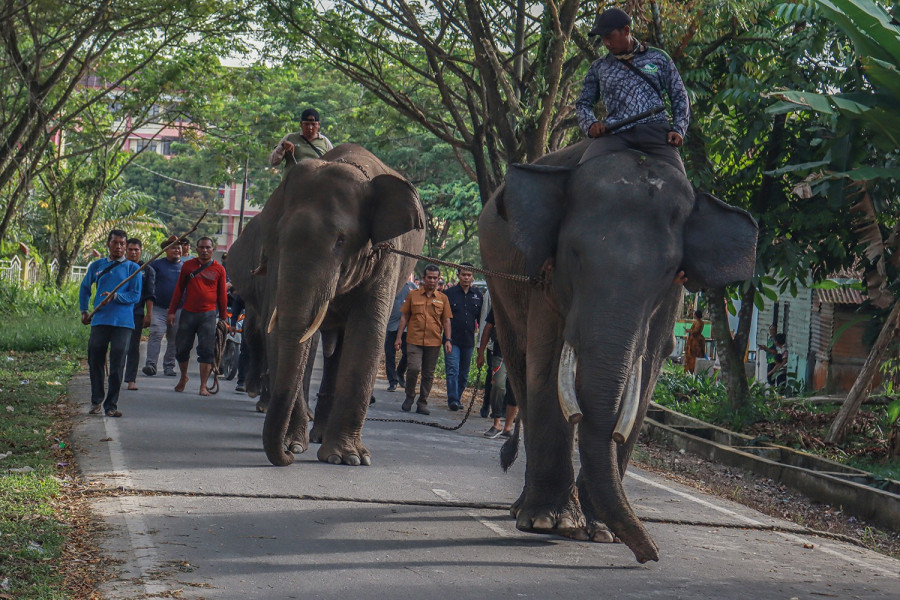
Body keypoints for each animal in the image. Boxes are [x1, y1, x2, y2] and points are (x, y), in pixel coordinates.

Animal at [229, 144, 426, 468]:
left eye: (341, 240)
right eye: (279, 238)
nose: (285, 457)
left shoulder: (386, 255)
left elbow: (368, 332)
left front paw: (350, 459)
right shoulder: (274, 266)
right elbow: (288, 335)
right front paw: (295, 445)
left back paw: (324, 440)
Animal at [478, 142, 760, 564]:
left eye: (669, 270)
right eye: (574, 254)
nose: (650, 555)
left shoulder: (669, 302)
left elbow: (647, 372)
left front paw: (600, 531)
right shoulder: (543, 278)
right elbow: (547, 362)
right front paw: (553, 523)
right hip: (498, 281)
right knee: (519, 362)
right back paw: (528, 513)